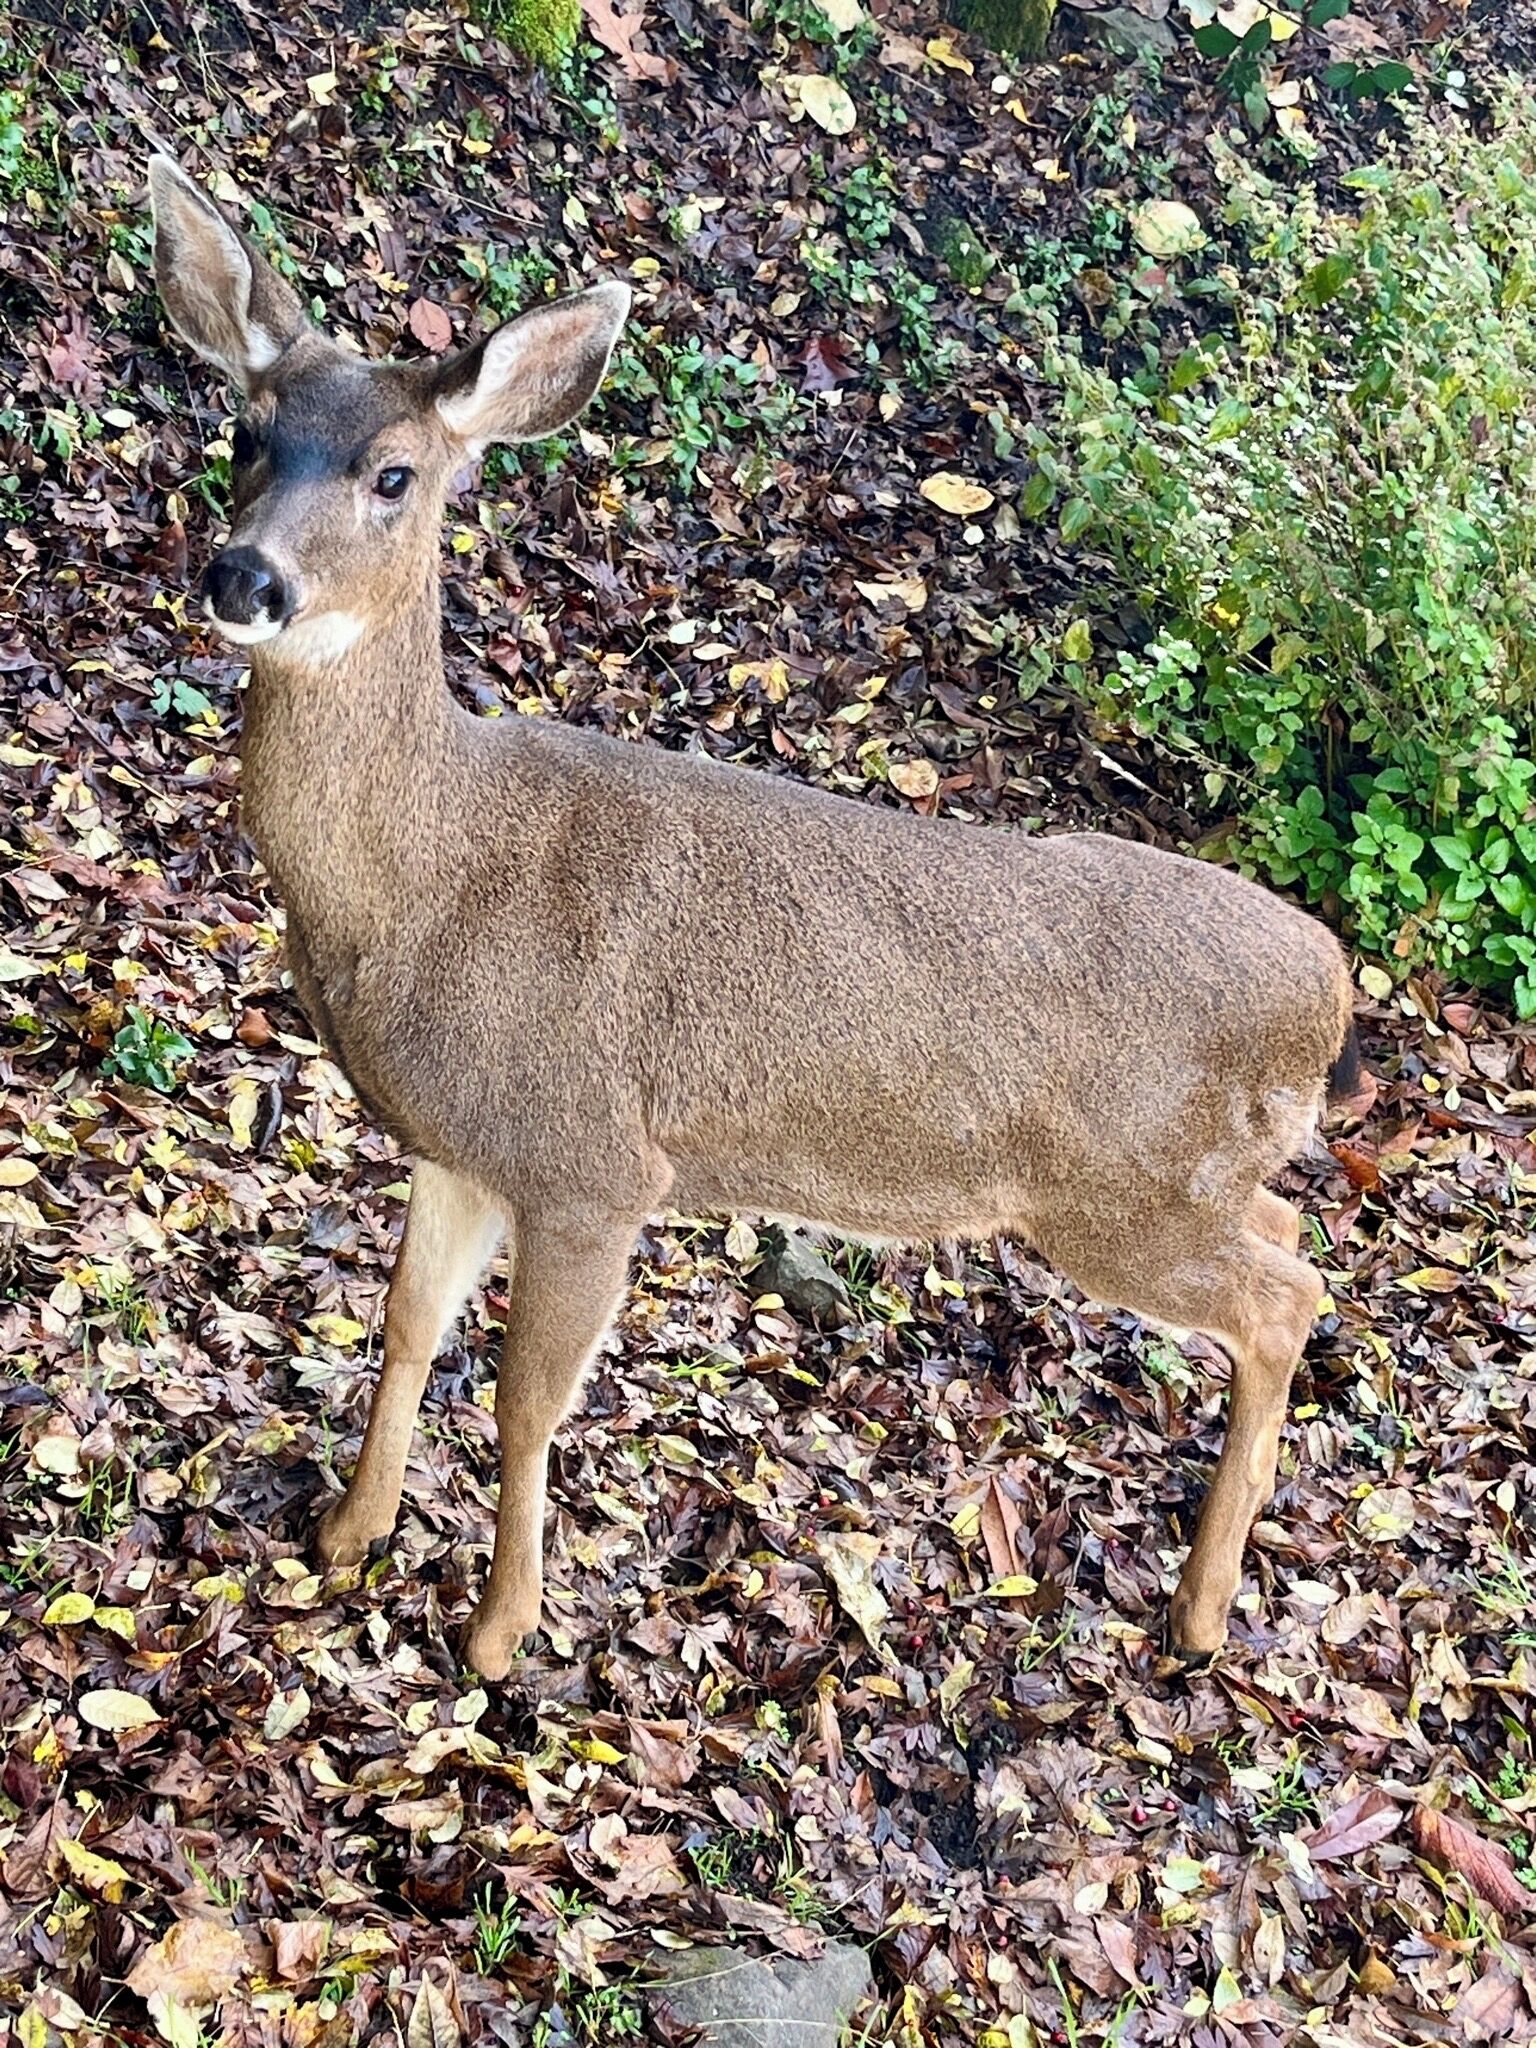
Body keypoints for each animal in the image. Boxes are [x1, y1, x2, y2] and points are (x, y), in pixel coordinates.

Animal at [147, 155, 1360, 1681]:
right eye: (249, 431)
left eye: (395, 475)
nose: (244, 578)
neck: (430, 888)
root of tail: (1333, 985)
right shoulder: (459, 1142)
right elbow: (406, 1329)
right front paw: (346, 1534)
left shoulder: (594, 1158)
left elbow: (527, 1404)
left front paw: (498, 1632)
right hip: (1194, 1178)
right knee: (1296, 1239)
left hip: (1118, 1190)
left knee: (1286, 1298)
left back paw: (1198, 1613)